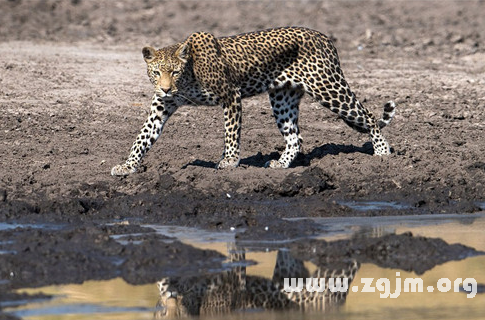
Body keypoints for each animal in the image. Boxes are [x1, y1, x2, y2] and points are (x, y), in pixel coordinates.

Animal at [111, 26, 396, 176]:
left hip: (328, 88)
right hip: (282, 98)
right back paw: (280, 164)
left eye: (175, 72)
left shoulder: (231, 95)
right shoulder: (161, 107)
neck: (189, 77)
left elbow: (231, 133)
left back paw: (382, 153)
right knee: (295, 137)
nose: (166, 88)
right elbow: (142, 137)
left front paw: (229, 161)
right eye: (156, 72)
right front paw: (128, 165)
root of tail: (325, 37)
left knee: (370, 116)